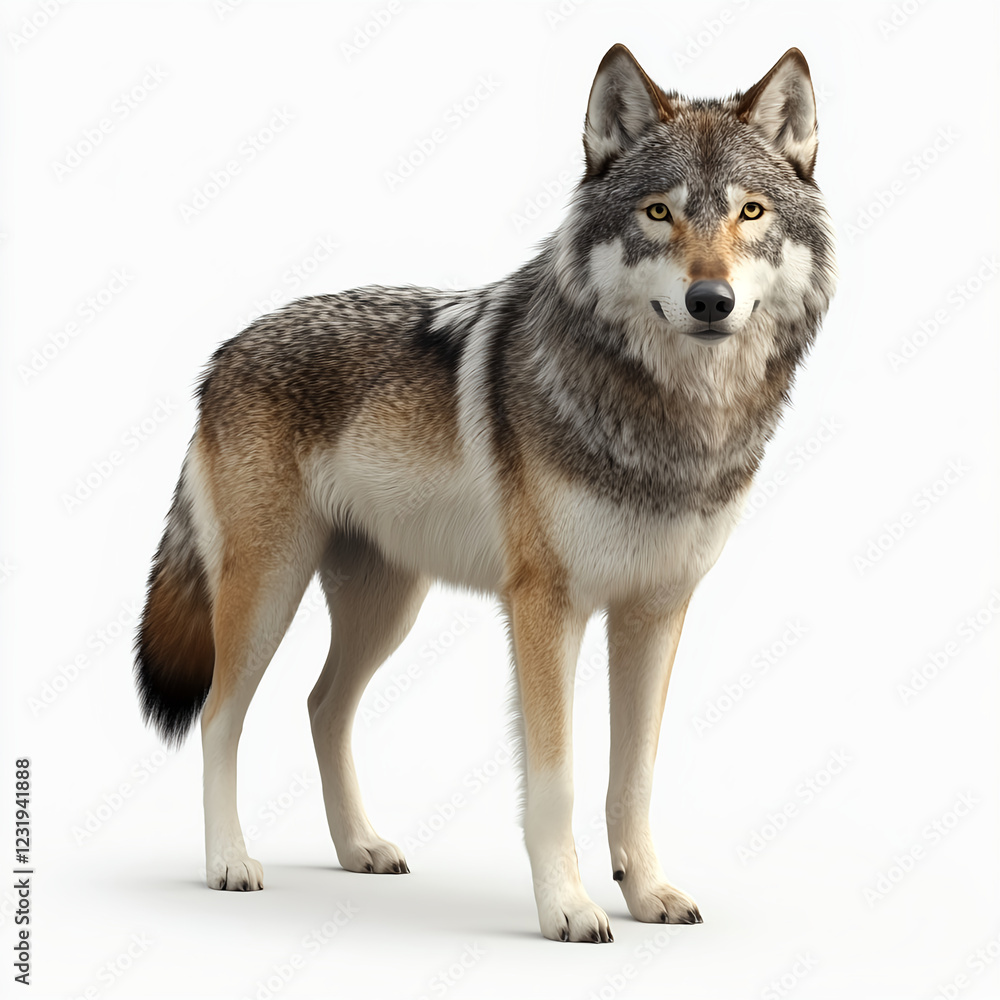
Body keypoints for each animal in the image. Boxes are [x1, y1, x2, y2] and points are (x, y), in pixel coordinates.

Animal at [135, 43, 835, 942]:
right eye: (658, 213)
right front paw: (569, 908)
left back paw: (359, 847)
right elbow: (557, 780)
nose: (709, 301)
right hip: (267, 593)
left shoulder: (656, 611)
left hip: (386, 607)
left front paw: (647, 892)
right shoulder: (545, 607)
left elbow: (633, 778)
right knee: (221, 719)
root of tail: (222, 352)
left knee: (322, 706)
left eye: (750, 212)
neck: (670, 428)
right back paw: (229, 862)